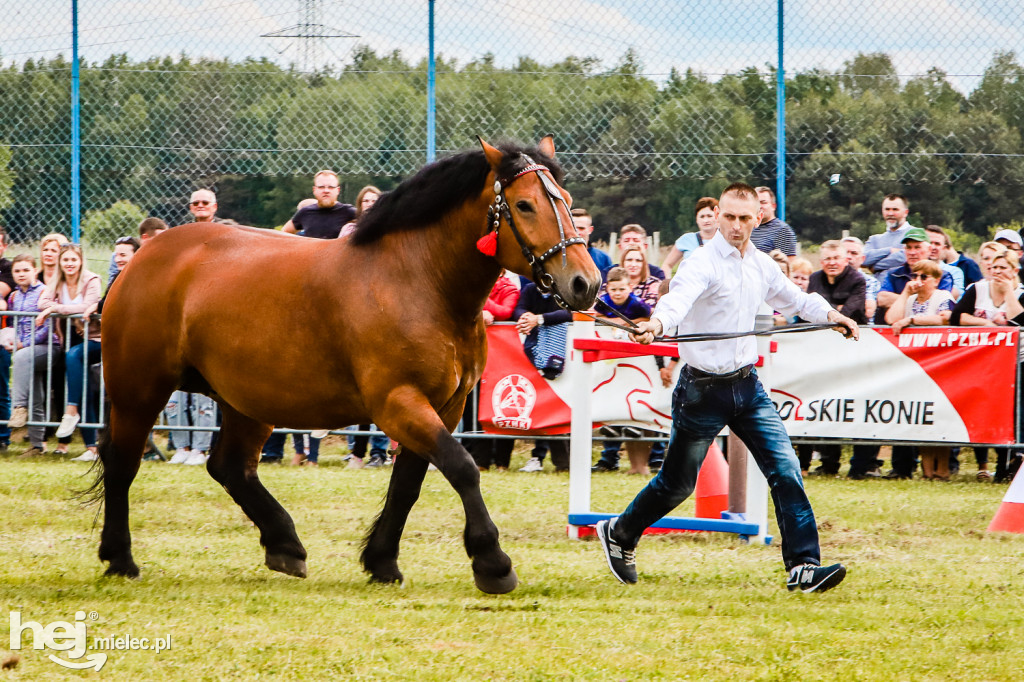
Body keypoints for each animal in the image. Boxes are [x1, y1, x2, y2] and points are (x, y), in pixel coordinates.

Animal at [94, 137, 598, 589]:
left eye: (568, 202)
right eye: (525, 205)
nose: (585, 283)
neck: (421, 282)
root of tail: (144, 257)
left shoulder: (446, 406)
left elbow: (408, 483)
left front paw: (382, 561)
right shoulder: (398, 403)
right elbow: (461, 468)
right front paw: (492, 562)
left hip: (248, 399)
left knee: (230, 467)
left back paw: (285, 545)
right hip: (140, 390)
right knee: (122, 462)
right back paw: (120, 558)